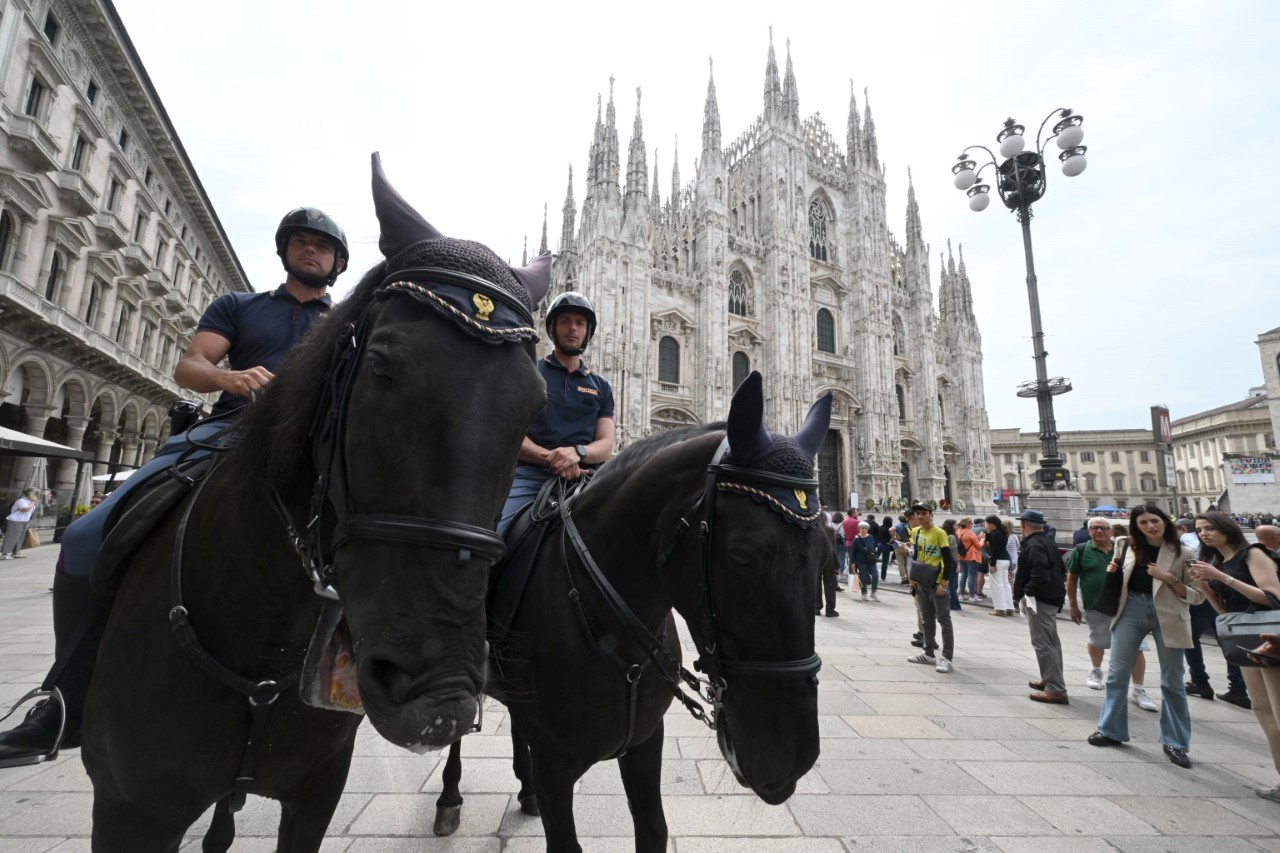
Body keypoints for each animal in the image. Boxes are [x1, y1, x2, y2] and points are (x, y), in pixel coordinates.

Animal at [435, 371, 824, 850]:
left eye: (826, 552)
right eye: (743, 556)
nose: (792, 758)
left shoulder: (645, 742)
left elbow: (653, 828)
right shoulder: (555, 766)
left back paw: (523, 793)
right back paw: (449, 799)